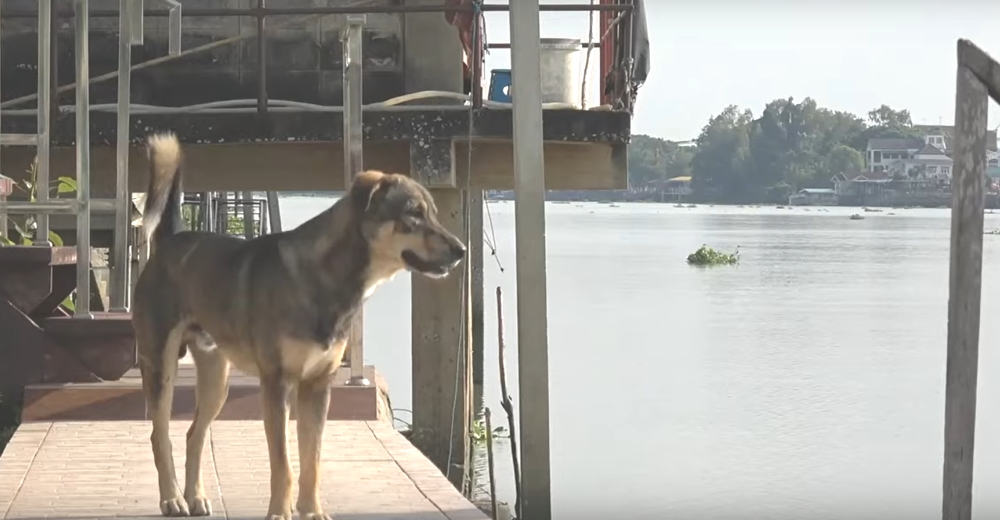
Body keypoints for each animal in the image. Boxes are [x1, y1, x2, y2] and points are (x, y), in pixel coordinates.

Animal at [132, 132, 468, 516]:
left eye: (434, 214)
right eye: (413, 213)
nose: (461, 250)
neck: (327, 274)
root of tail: (170, 240)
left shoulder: (317, 387)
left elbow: (312, 460)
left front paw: (311, 510)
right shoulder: (277, 385)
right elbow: (283, 463)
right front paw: (280, 512)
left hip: (217, 378)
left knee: (194, 434)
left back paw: (196, 496)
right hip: (161, 367)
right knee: (160, 434)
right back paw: (173, 498)